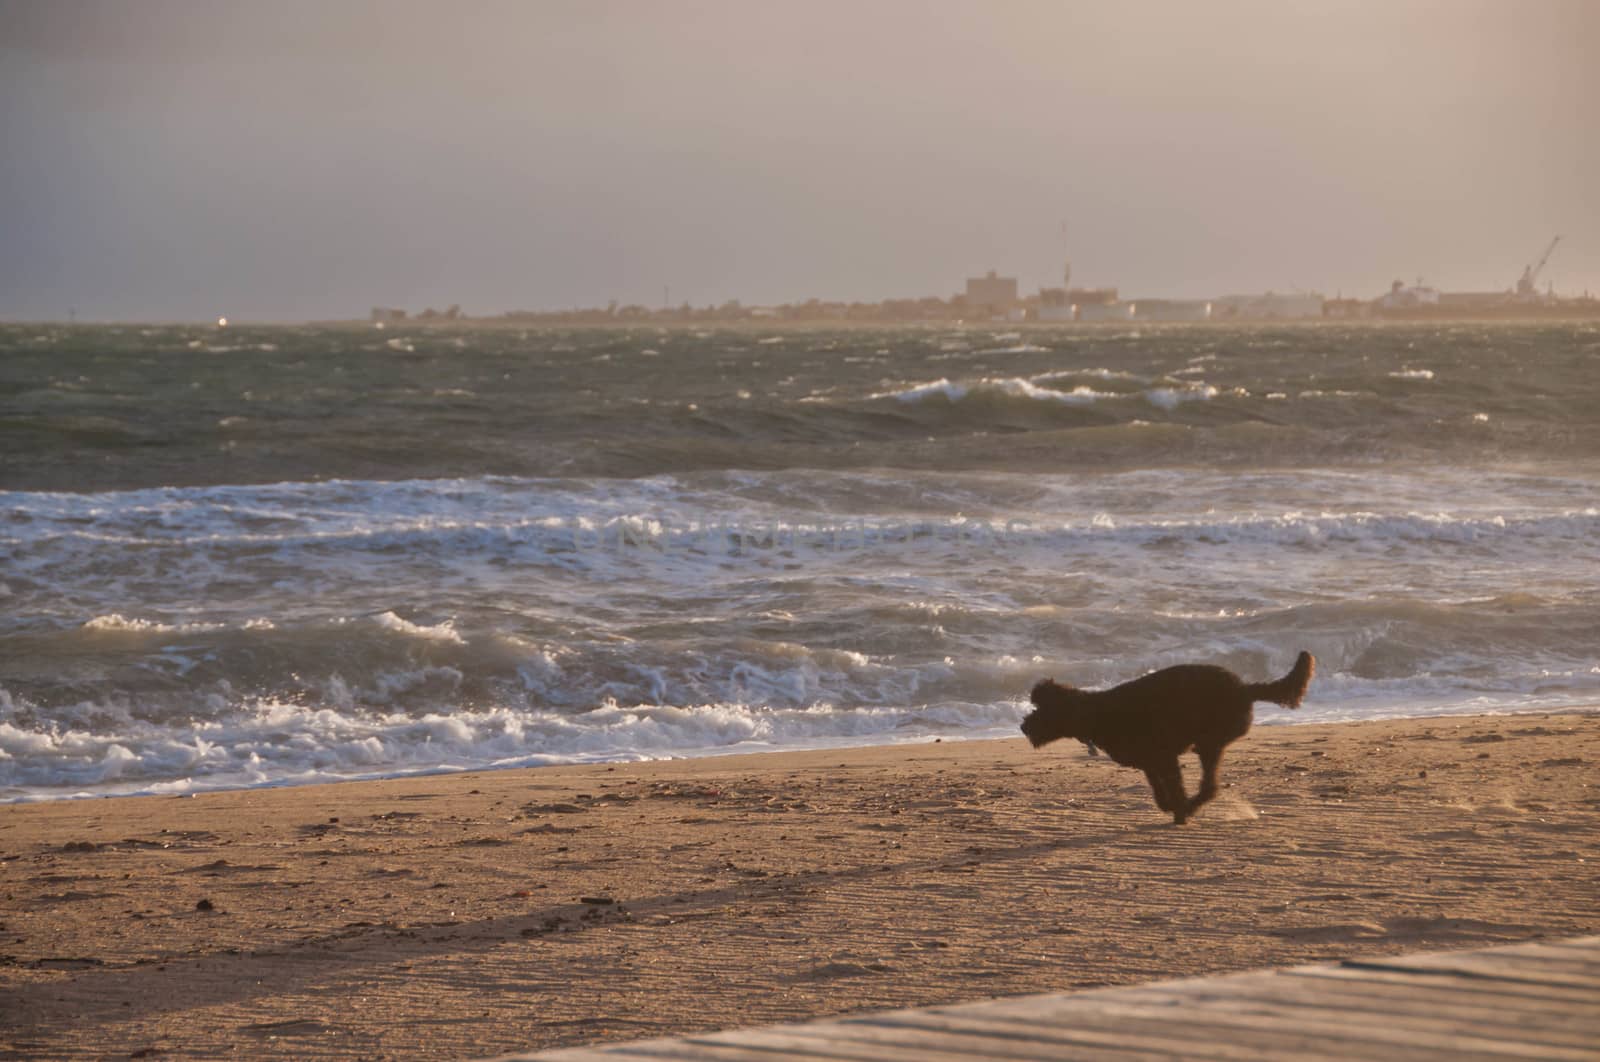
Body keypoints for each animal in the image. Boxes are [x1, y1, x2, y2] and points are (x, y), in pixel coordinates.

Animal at [1024, 652, 1312, 825]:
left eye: (1042, 709)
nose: (1024, 726)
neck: (1097, 712)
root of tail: (1245, 689)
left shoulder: (1164, 756)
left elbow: (1175, 787)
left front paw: (1180, 811)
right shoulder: (1151, 761)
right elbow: (1158, 790)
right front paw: (1169, 806)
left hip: (1210, 742)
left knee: (1210, 786)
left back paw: (1190, 808)